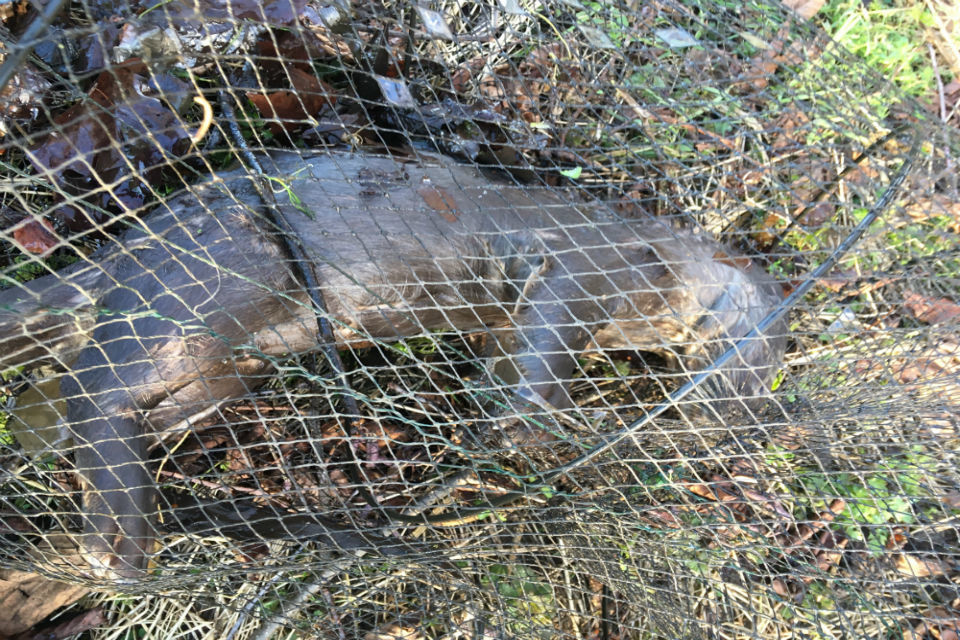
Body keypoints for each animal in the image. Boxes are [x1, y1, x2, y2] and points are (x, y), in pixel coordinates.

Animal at [0, 150, 786, 578]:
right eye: (762, 362)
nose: (742, 419)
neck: (655, 272)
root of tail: (119, 251)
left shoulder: (509, 325)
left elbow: (505, 360)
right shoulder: (579, 271)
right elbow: (541, 359)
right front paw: (545, 427)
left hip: (233, 358)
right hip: (214, 284)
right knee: (95, 384)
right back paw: (120, 544)